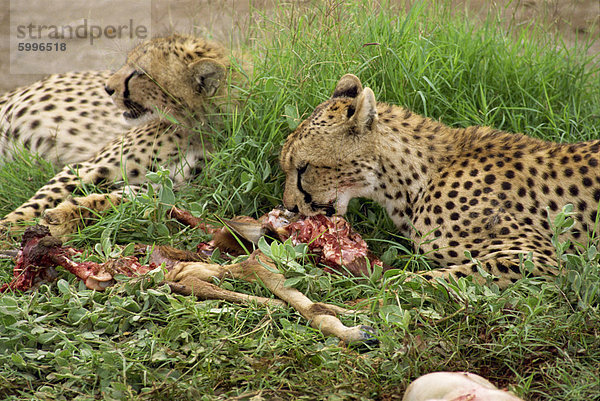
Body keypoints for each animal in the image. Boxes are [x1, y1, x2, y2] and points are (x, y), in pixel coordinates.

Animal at [2, 33, 241, 238]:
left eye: (139, 73)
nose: (107, 88)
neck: (195, 128)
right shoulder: (84, 167)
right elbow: (41, 200)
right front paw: (9, 225)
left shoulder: (173, 187)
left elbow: (121, 200)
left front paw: (66, 216)